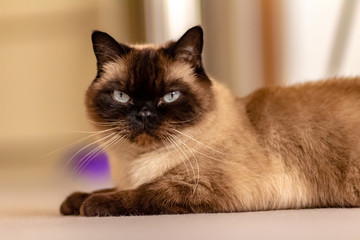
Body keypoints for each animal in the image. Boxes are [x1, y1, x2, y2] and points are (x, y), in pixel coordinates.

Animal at [59, 25, 360, 217]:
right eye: (122, 96)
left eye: (170, 96)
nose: (144, 115)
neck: (134, 163)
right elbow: (112, 189)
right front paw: (73, 202)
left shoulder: (199, 187)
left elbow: (142, 193)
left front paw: (91, 205)